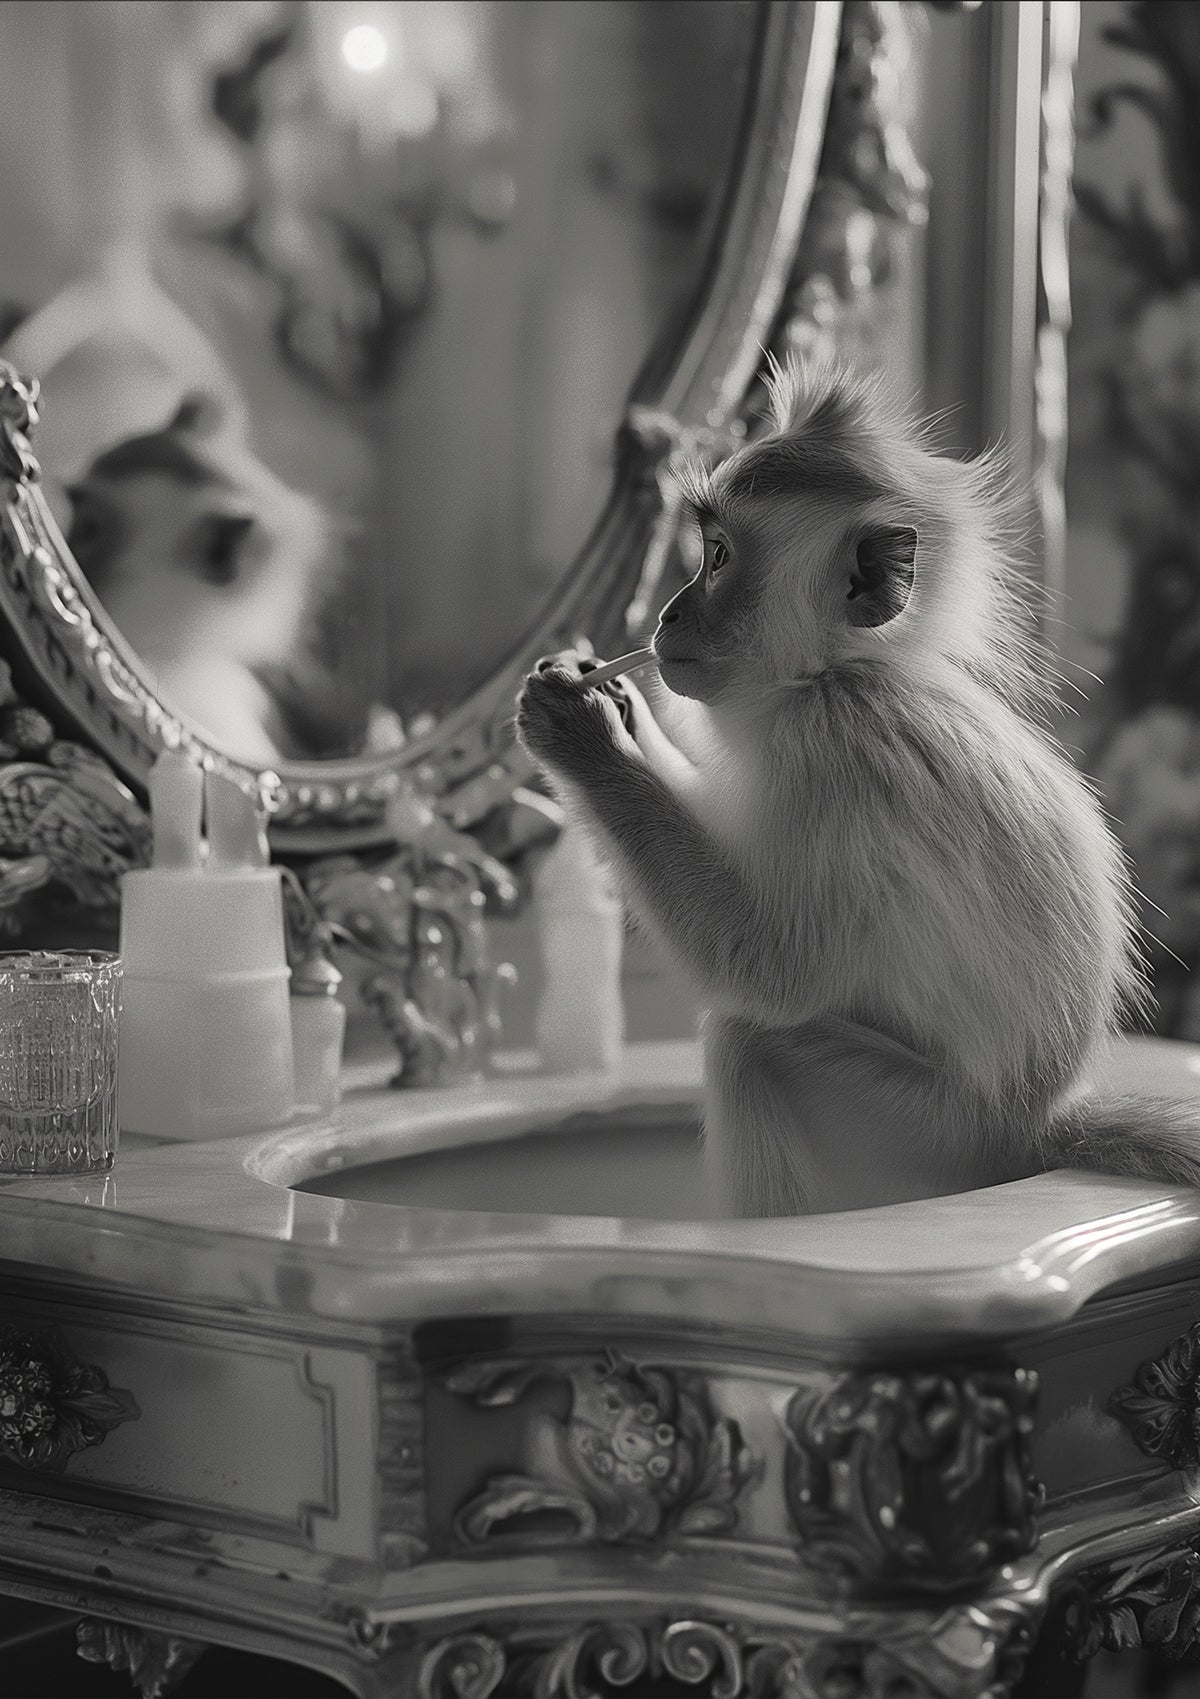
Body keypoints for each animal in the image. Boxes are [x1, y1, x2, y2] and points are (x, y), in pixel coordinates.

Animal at [516, 358, 1200, 1217]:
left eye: (716, 556)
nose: (666, 614)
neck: (838, 672)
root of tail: (1039, 1127)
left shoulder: (835, 753)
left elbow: (772, 969)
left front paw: (583, 736)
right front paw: (612, 696)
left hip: (927, 1131)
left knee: (750, 1041)